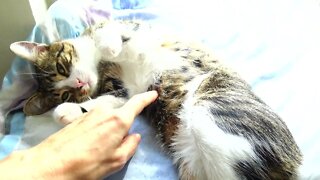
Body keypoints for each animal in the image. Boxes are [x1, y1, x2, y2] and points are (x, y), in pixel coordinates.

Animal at [10, 20, 302, 180]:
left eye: (62, 66)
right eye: (65, 93)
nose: (80, 85)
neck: (102, 68)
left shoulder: (139, 31)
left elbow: (113, 33)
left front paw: (110, 45)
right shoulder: (124, 91)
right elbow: (105, 102)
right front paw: (67, 113)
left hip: (210, 108)